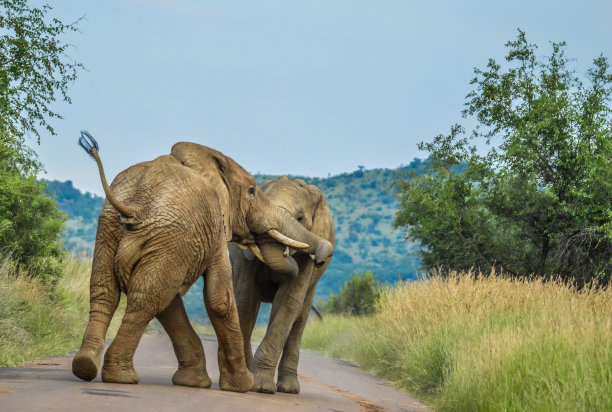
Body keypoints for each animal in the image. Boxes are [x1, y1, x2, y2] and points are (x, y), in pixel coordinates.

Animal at [230, 175, 334, 394]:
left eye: (300, 218)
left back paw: (289, 389)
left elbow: (288, 302)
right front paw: (247, 380)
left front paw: (261, 387)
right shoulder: (245, 260)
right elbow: (247, 299)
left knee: (300, 319)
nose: (319, 260)